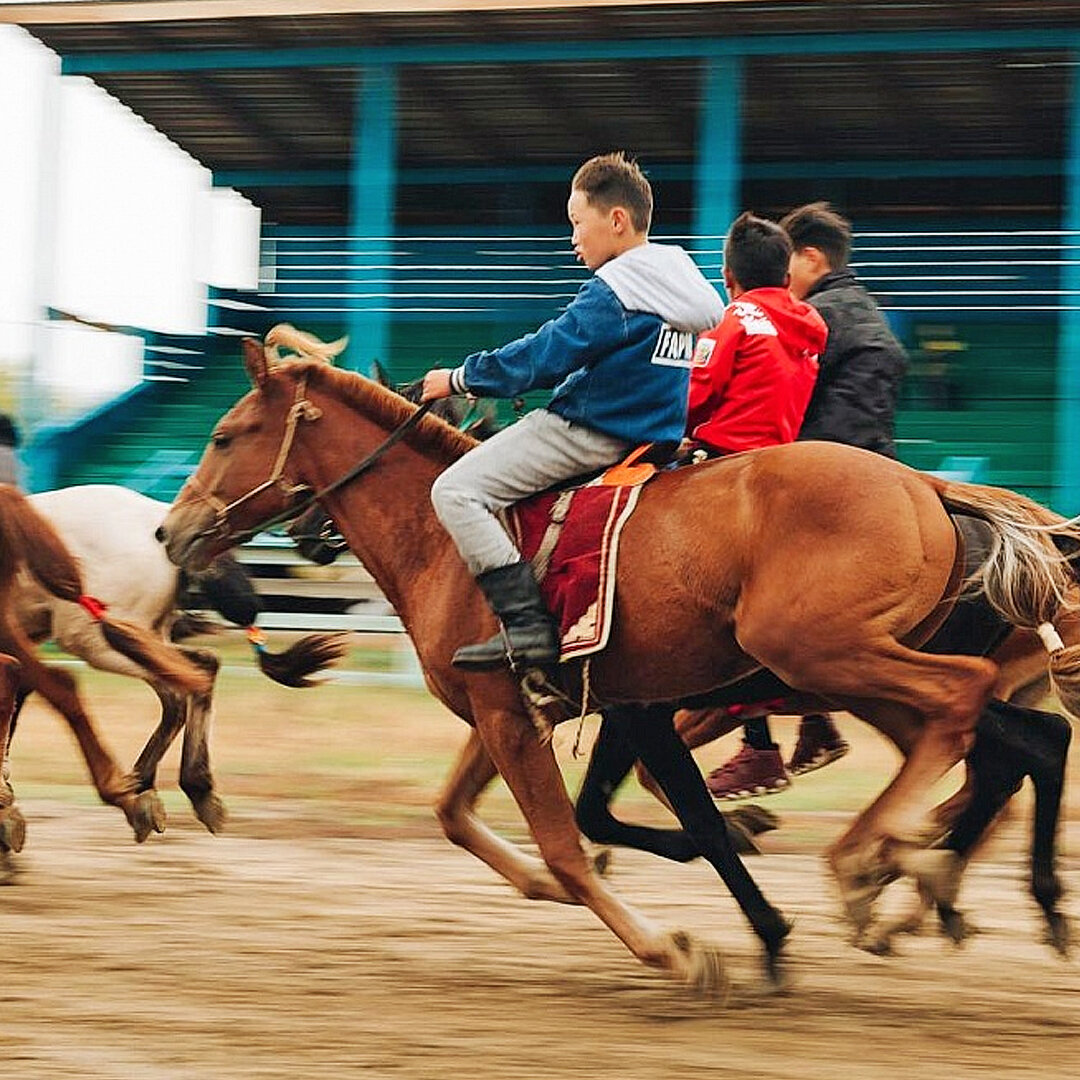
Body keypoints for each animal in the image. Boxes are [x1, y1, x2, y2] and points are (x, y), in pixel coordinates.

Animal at [157, 334, 1080, 993]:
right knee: (1015, 744)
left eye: (225, 435)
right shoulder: (526, 706)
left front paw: (675, 946)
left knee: (967, 716)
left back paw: (876, 864)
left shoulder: (564, 714)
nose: (171, 531)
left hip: (828, 654)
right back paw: (936, 878)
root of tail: (931, 490)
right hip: (854, 668)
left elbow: (577, 839)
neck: (450, 534)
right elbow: (473, 818)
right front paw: (749, 907)